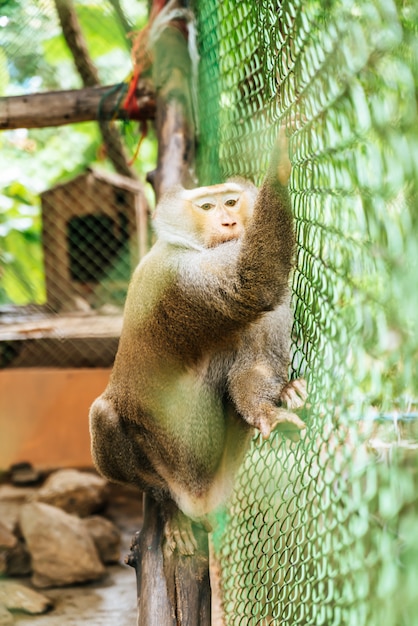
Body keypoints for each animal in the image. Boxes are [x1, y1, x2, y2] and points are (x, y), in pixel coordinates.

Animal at [90, 129, 306, 552]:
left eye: (231, 201)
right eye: (207, 206)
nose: (228, 220)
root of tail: (199, 498)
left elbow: (256, 362)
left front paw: (268, 411)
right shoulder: (179, 275)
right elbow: (251, 284)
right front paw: (279, 164)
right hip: (168, 473)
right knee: (103, 415)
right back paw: (166, 506)